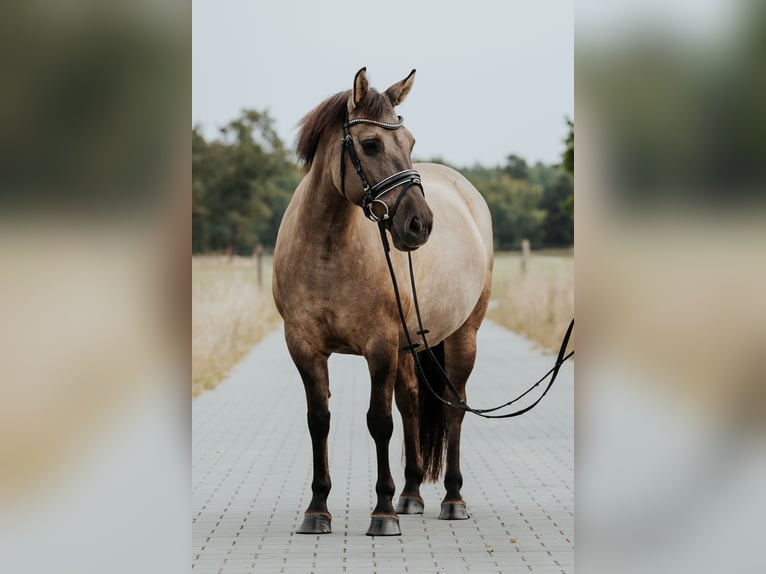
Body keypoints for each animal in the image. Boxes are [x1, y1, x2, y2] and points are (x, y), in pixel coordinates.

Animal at [272, 68, 496, 540]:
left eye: (409, 141)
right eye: (371, 144)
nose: (419, 224)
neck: (328, 250)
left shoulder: (379, 347)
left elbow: (379, 421)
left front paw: (382, 511)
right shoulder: (303, 346)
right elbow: (319, 419)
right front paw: (317, 509)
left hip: (462, 336)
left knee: (454, 409)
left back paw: (452, 499)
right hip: (410, 346)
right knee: (411, 401)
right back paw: (410, 494)